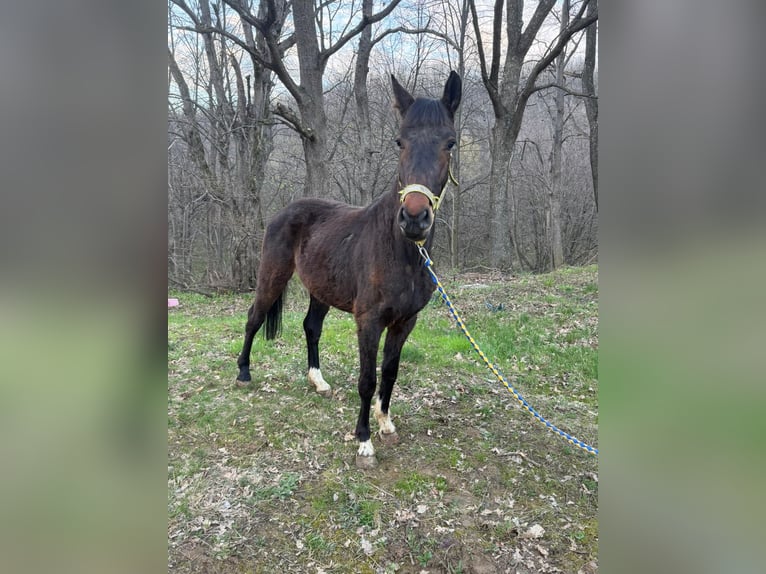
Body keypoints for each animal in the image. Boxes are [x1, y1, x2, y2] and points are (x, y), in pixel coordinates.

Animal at [236, 71, 462, 468]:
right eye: (399, 142)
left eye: (449, 143)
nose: (414, 218)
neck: (399, 251)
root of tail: (285, 210)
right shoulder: (369, 322)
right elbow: (367, 379)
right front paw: (363, 441)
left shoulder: (405, 322)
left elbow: (390, 372)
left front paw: (385, 423)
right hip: (272, 276)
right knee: (254, 317)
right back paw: (244, 373)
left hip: (321, 290)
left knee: (311, 327)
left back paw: (318, 381)